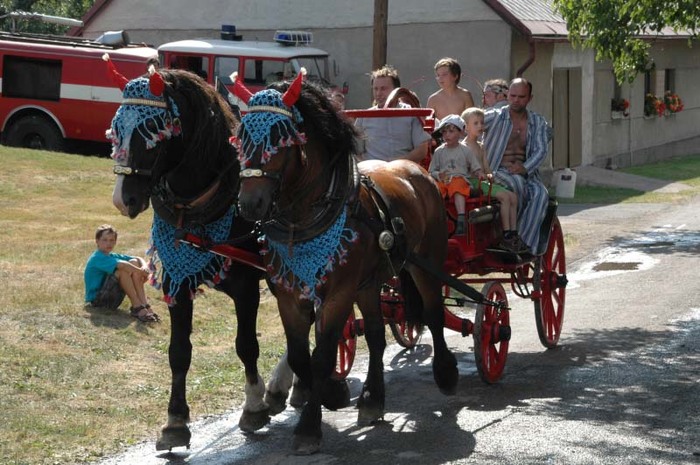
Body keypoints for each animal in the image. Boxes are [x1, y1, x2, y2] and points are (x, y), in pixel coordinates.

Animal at [108, 66, 291, 450]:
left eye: (151, 131)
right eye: (116, 128)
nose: (122, 199)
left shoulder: (246, 286)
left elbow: (246, 345)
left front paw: (253, 406)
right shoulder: (177, 282)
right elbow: (179, 351)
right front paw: (175, 422)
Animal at [233, 74, 459, 454]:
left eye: (280, 136)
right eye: (241, 135)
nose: (250, 204)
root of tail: (417, 170)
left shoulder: (338, 293)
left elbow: (322, 356)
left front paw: (310, 426)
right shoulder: (289, 295)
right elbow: (301, 356)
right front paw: (329, 393)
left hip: (426, 262)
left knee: (433, 313)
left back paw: (445, 372)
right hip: (367, 284)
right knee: (377, 334)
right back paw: (372, 399)